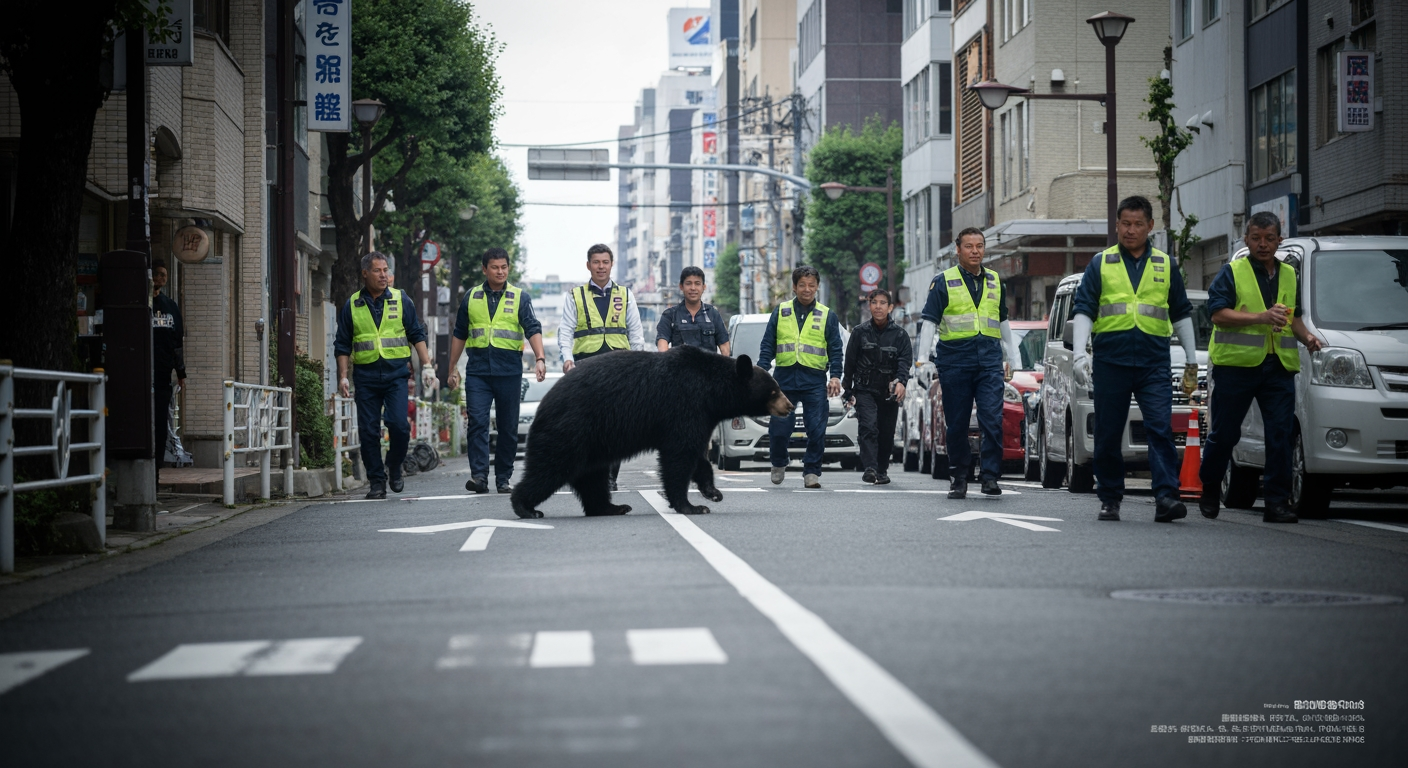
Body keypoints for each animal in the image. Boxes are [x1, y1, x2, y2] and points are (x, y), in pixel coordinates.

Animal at [511, 346, 792, 518]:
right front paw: (691, 505)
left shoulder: (700, 415)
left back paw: (612, 507)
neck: (710, 391)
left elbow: (697, 455)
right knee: (551, 468)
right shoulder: (684, 405)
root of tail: (543, 405)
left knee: (591, 476)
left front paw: (712, 492)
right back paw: (526, 507)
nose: (789, 406)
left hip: (592, 442)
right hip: (571, 429)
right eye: (774, 390)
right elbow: (678, 457)